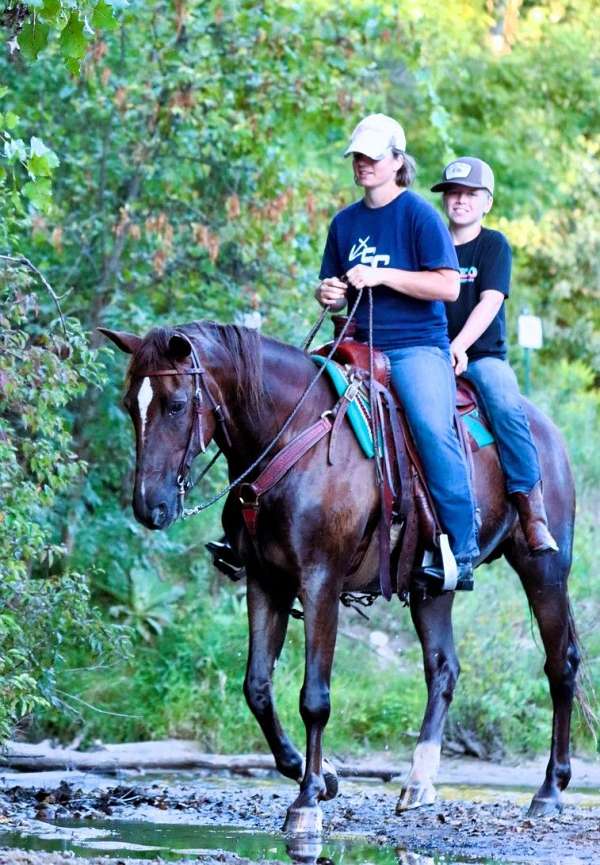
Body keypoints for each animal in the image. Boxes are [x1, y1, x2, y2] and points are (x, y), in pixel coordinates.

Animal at [101, 320, 584, 832]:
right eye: (129, 403)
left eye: (175, 404)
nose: (148, 506)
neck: (292, 435)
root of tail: (548, 432)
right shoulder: (266, 582)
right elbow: (257, 688)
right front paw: (316, 772)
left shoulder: (320, 581)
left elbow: (314, 696)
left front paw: (308, 799)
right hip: (432, 587)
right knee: (443, 668)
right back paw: (418, 782)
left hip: (544, 569)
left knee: (561, 665)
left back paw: (550, 789)